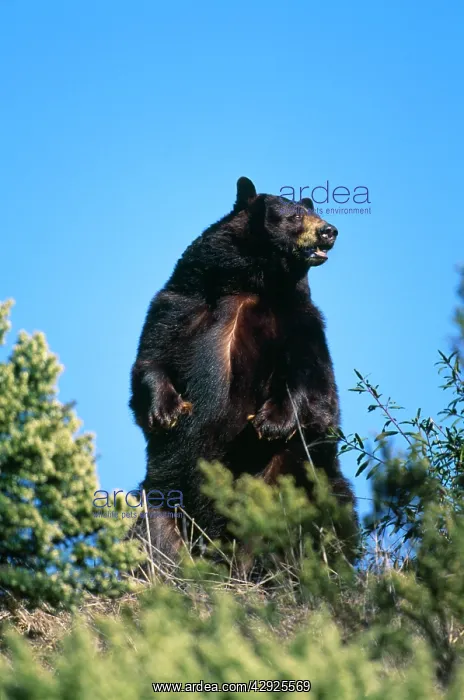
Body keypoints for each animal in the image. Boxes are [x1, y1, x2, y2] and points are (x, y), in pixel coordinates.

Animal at [129, 177, 358, 563]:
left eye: (311, 210)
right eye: (296, 215)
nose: (330, 231)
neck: (252, 284)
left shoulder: (303, 324)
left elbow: (316, 388)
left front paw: (272, 422)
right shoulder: (181, 301)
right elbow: (151, 358)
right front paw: (167, 410)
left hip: (304, 479)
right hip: (163, 493)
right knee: (153, 530)